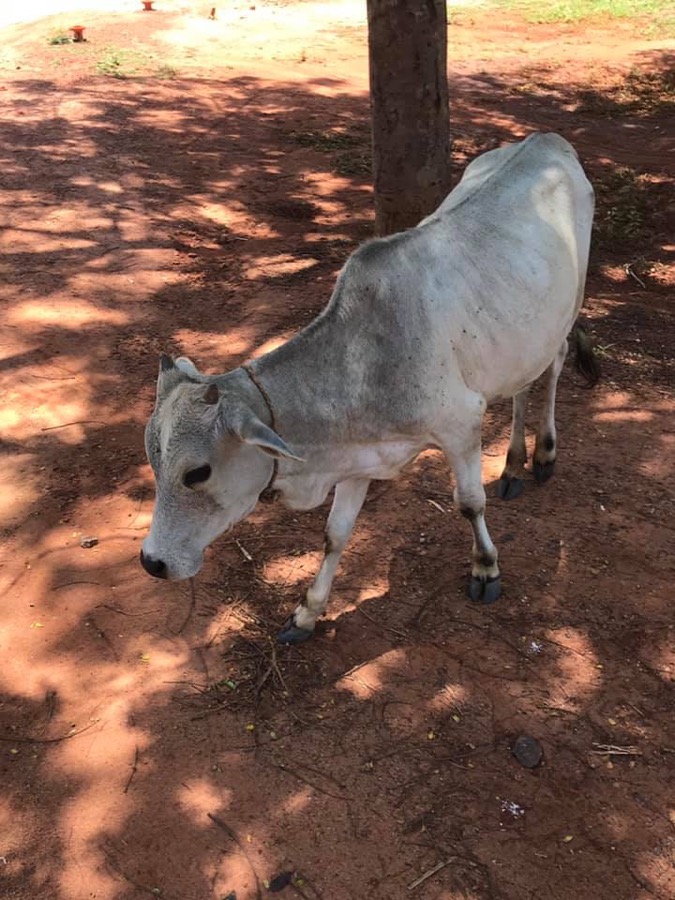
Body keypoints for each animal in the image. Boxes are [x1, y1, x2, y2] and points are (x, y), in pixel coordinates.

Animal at [140, 132, 599, 644]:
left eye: (197, 472)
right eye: (152, 461)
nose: (152, 562)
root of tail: (547, 140)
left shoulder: (461, 426)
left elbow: (468, 503)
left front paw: (485, 568)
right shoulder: (357, 456)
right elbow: (335, 534)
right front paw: (306, 613)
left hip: (565, 313)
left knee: (554, 367)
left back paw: (543, 454)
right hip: (520, 339)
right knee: (522, 386)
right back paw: (514, 465)